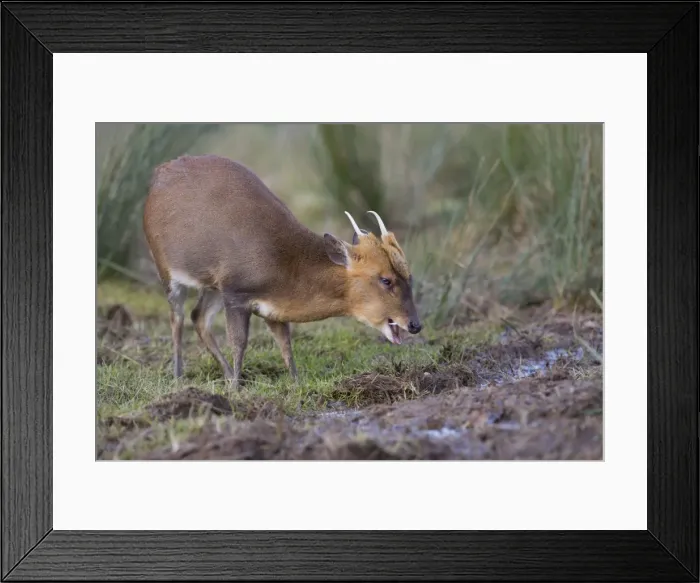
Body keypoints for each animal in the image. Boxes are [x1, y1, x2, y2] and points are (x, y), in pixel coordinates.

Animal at [142, 154, 422, 388]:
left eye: (409, 277)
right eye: (385, 280)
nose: (415, 325)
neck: (285, 265)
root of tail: (158, 173)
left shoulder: (271, 307)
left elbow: (285, 343)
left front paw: (295, 383)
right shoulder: (236, 293)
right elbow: (239, 342)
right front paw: (236, 389)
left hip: (212, 285)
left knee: (198, 317)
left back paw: (224, 374)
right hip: (166, 269)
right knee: (178, 318)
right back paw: (179, 377)